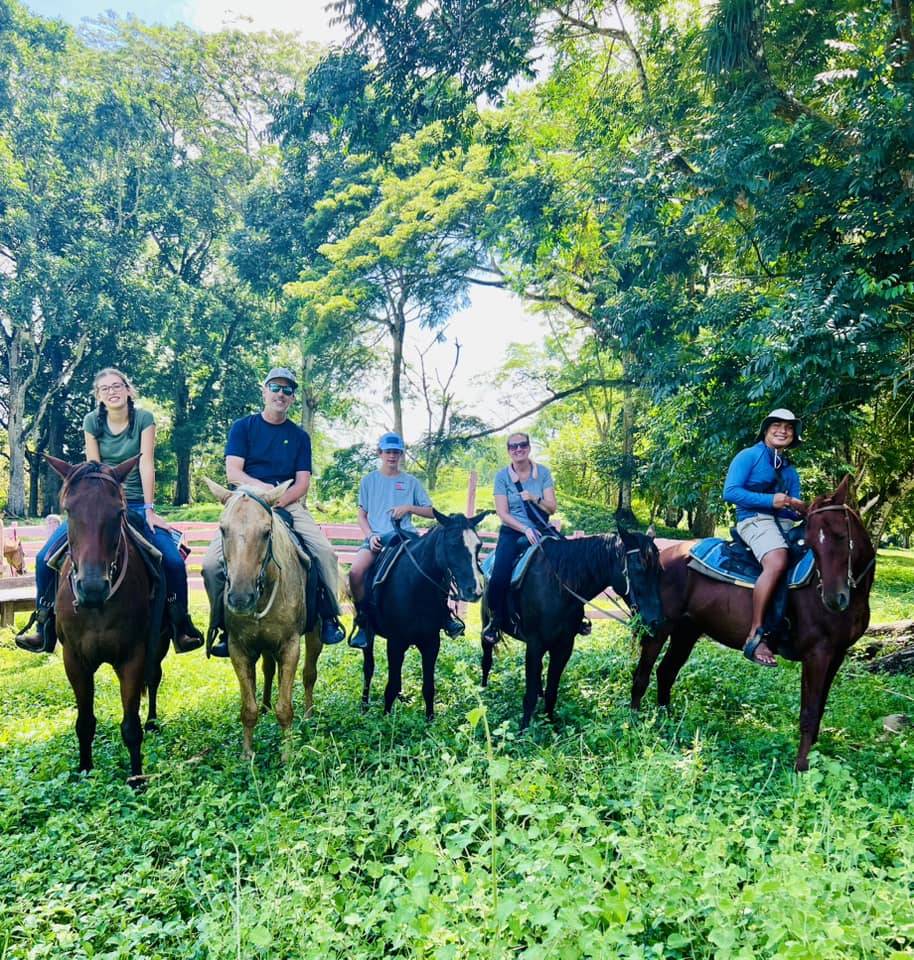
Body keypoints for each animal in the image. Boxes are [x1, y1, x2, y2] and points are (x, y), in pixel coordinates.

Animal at [48, 458, 169, 788]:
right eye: (69, 510)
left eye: (118, 512)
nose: (91, 588)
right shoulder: (74, 660)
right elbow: (85, 722)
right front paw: (85, 769)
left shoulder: (133, 657)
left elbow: (131, 727)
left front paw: (137, 779)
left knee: (154, 678)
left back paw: (153, 721)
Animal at [203, 478, 320, 756]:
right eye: (223, 529)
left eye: (267, 532)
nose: (240, 598)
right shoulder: (238, 649)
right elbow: (248, 708)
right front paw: (247, 754)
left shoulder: (290, 647)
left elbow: (285, 708)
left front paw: (288, 753)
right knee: (268, 669)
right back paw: (266, 705)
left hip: (315, 634)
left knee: (309, 674)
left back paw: (309, 715)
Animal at [356, 510, 488, 720]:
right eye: (453, 545)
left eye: (479, 545)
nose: (474, 591)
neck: (416, 586)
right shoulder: (395, 643)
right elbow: (390, 686)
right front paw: (385, 719)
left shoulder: (431, 643)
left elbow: (428, 687)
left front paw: (430, 720)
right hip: (369, 635)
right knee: (368, 668)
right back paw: (364, 705)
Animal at [478, 524, 664, 728]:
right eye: (639, 568)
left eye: (659, 571)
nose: (656, 621)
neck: (558, 586)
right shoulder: (535, 645)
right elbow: (529, 696)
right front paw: (523, 729)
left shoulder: (564, 646)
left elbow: (552, 691)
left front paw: (550, 724)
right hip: (486, 625)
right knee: (487, 657)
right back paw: (483, 691)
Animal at [628, 478, 876, 772]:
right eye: (812, 544)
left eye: (840, 535)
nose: (834, 599)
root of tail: (665, 555)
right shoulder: (817, 654)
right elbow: (809, 712)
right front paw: (801, 767)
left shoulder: (837, 654)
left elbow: (820, 709)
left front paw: (814, 758)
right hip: (659, 628)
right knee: (642, 674)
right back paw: (633, 722)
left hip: (687, 631)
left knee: (666, 672)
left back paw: (667, 722)